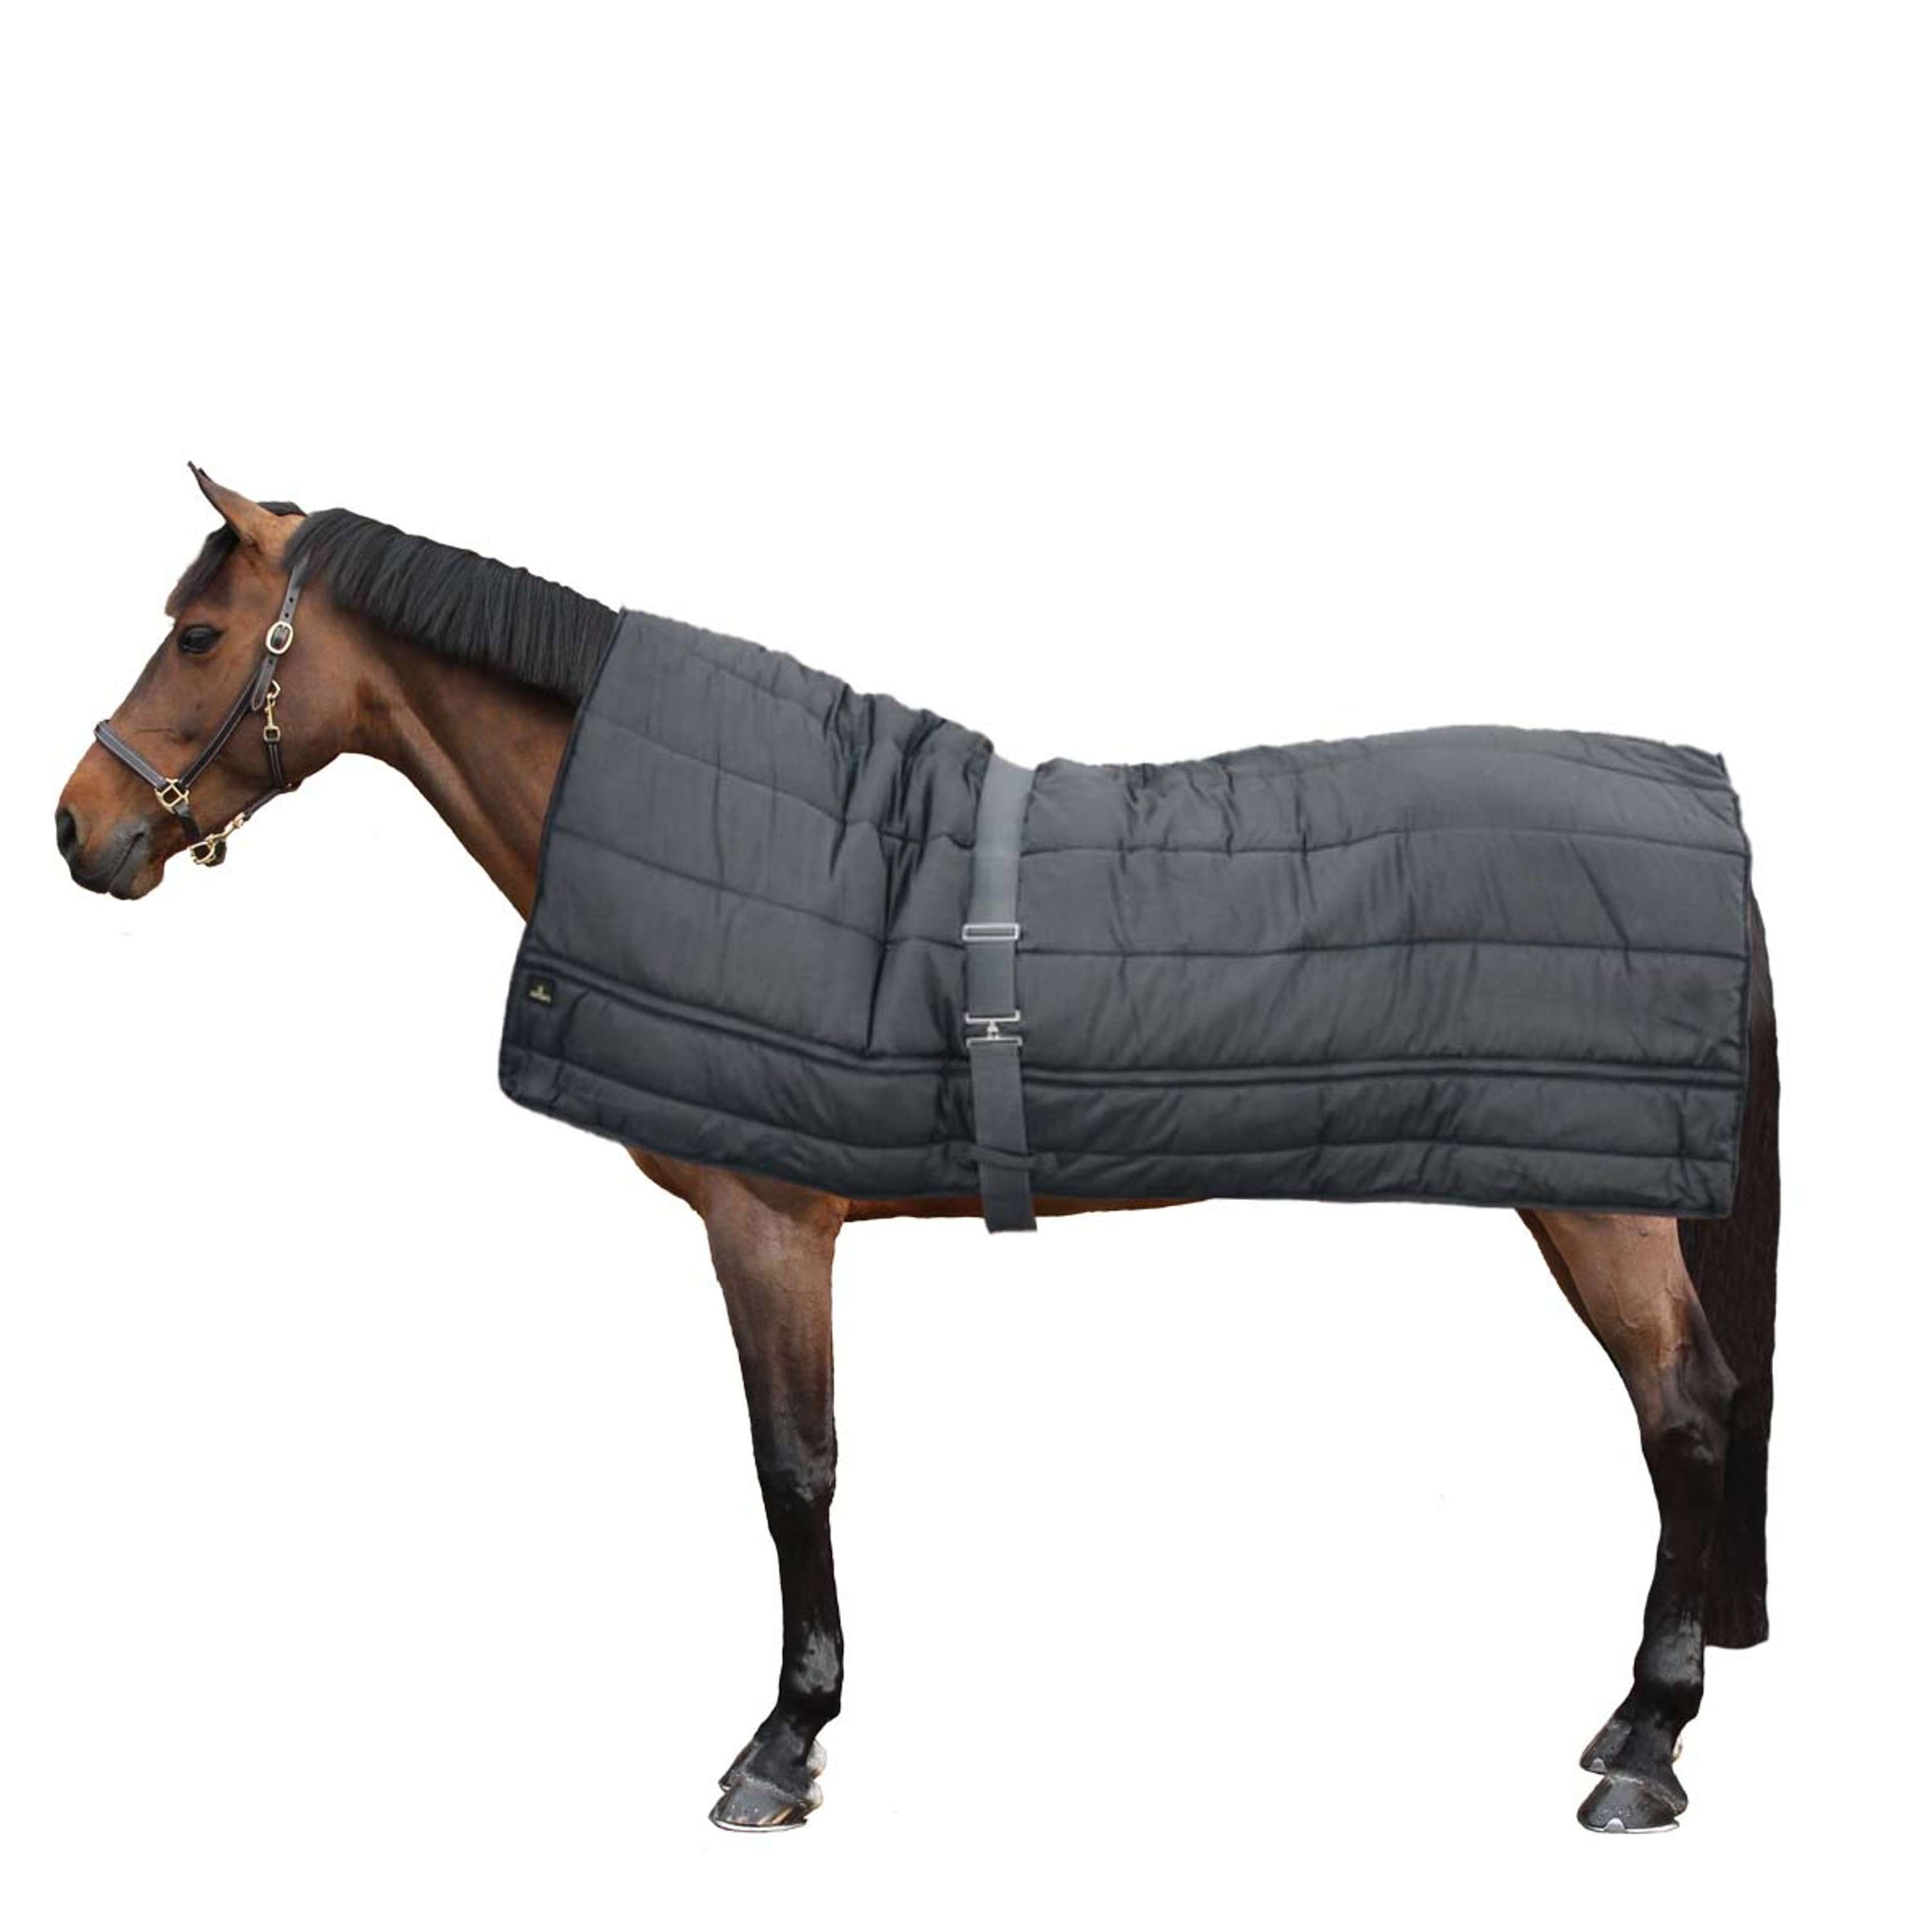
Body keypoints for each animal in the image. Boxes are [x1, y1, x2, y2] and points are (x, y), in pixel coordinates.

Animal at [55, 468, 1780, 1835]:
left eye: (199, 636)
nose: (80, 829)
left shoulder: (768, 1223)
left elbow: (794, 1469)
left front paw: (783, 1743)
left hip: (1598, 1206)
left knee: (1688, 1413)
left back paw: (1647, 1749)